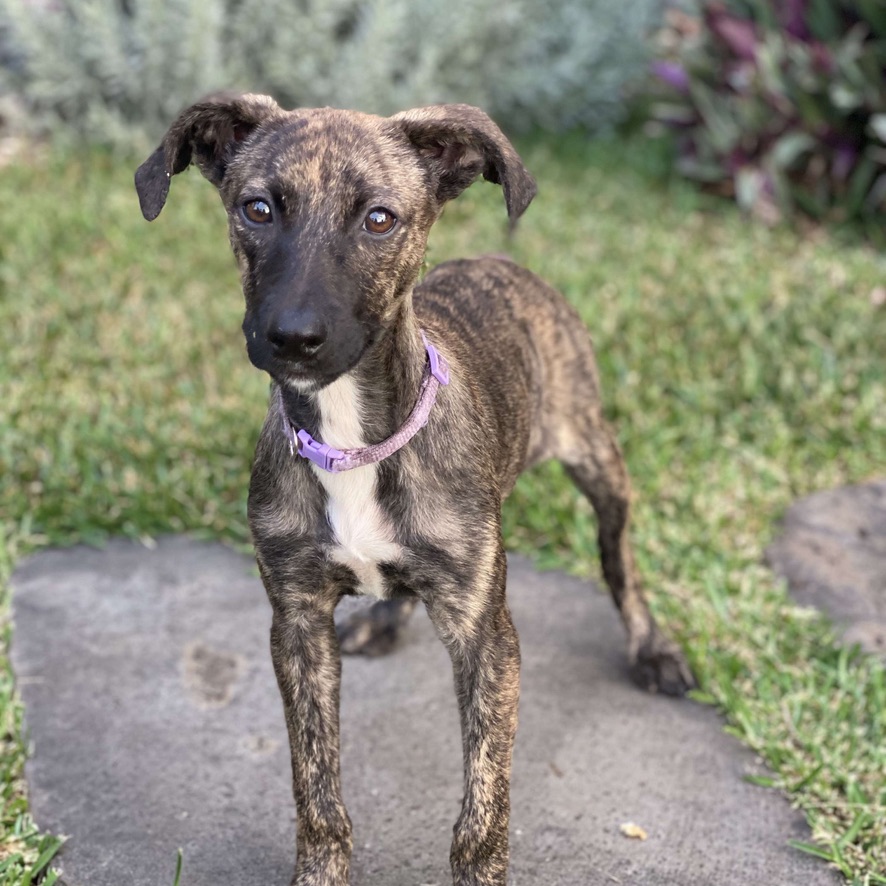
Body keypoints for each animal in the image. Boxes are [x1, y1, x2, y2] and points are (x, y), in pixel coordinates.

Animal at [135, 95, 696, 886]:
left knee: (619, 558)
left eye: (379, 219)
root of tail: (501, 262)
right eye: (257, 209)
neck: (353, 440)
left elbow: (483, 809)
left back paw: (652, 648)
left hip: (596, 454)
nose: (293, 338)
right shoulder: (297, 625)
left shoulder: (486, 637)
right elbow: (317, 791)